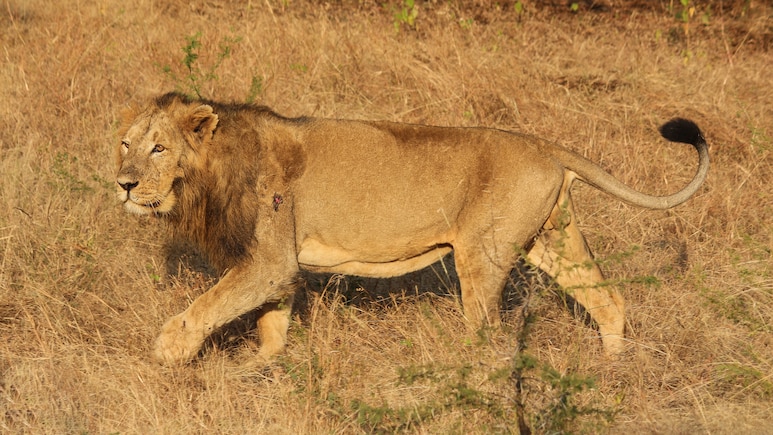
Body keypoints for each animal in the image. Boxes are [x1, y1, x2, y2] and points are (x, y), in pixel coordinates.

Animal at [115, 92, 709, 365]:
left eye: (159, 148)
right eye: (125, 144)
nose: (123, 183)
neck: (211, 173)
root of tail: (545, 145)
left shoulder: (268, 259)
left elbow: (207, 305)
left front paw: (167, 353)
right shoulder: (278, 266)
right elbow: (271, 323)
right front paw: (259, 370)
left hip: (483, 255)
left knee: (488, 329)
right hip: (553, 239)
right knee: (609, 299)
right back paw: (611, 367)